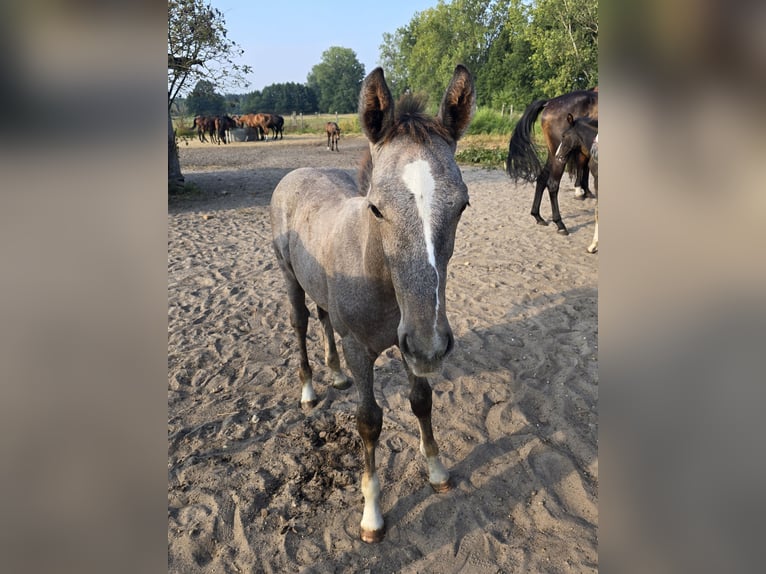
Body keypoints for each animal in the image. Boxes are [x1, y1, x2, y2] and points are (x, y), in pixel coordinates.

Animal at [270, 64, 475, 543]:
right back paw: (309, 390)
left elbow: (421, 401)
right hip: (290, 279)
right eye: (377, 208)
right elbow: (369, 421)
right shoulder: (362, 349)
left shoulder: (408, 344)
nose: (432, 345)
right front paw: (371, 516)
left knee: (324, 318)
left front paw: (437, 472)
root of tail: (296, 172)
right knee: (301, 323)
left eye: (462, 205)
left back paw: (335, 374)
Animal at [506, 89, 598, 235]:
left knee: (542, 178)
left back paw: (538, 216)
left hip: (554, 154)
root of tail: (550, 102)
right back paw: (560, 224)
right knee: (553, 184)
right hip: (559, 156)